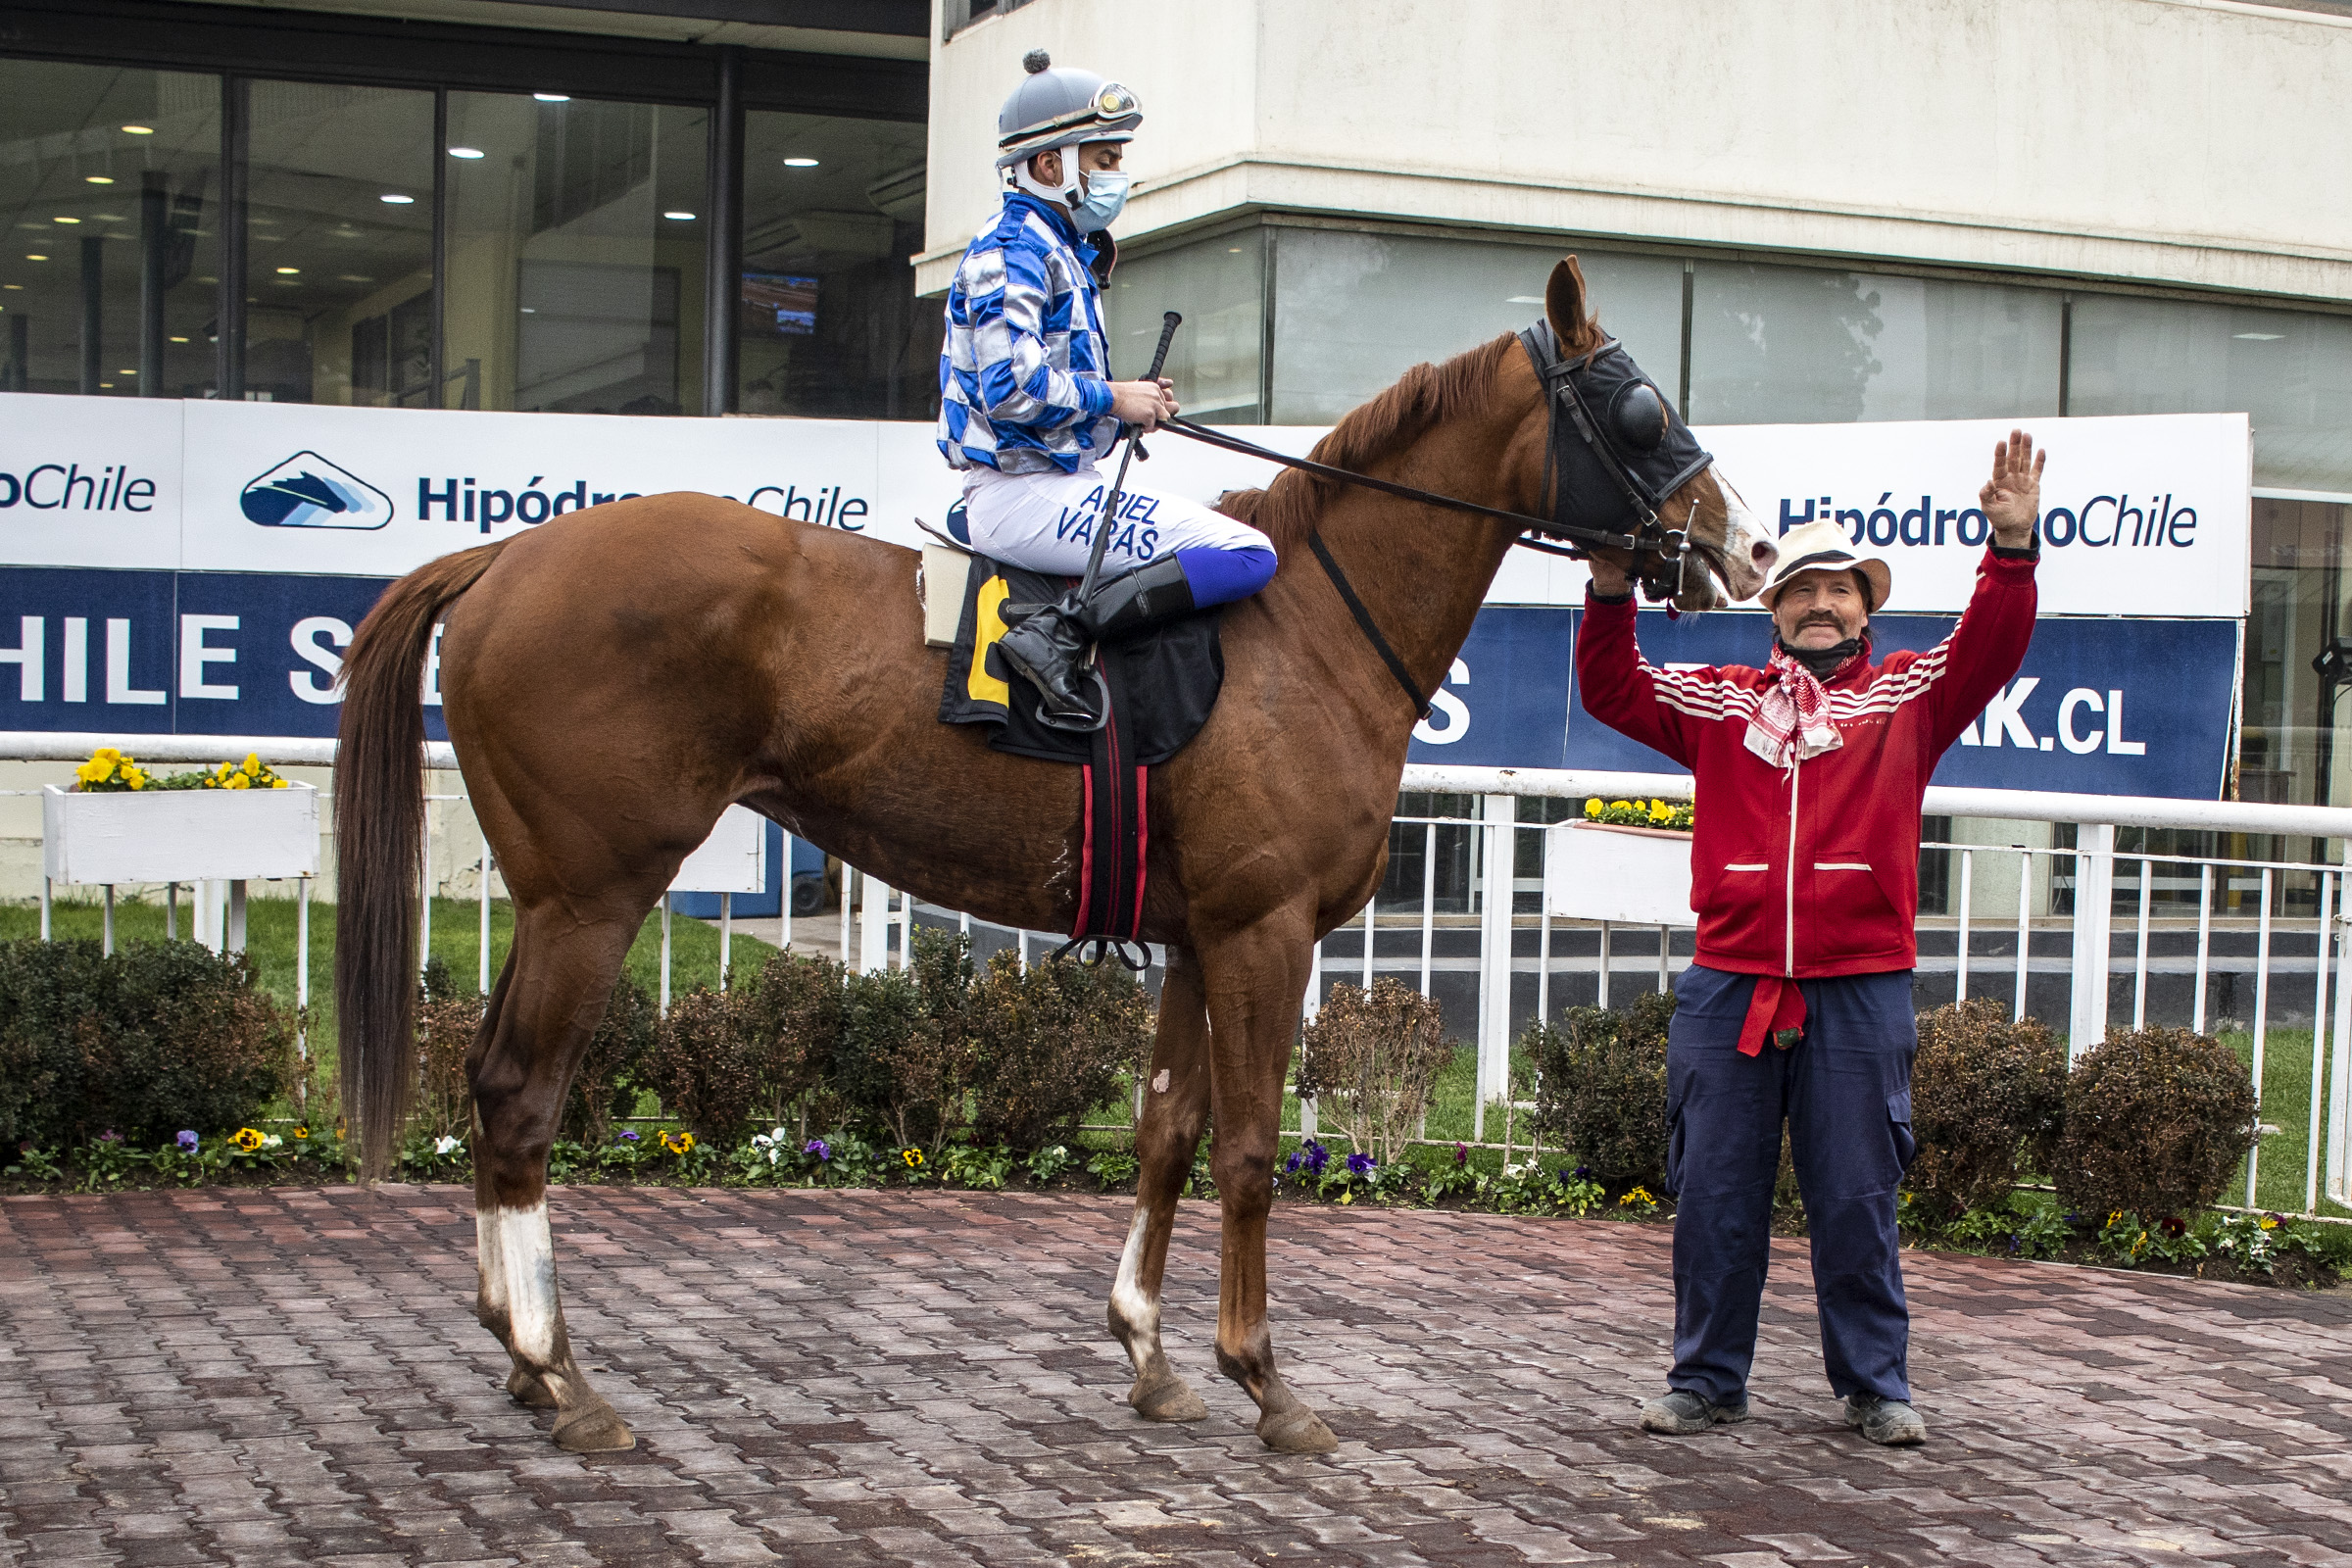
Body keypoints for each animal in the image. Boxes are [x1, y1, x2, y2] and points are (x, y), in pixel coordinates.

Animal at [334, 257, 1776, 1455]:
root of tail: (504, 553)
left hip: (551, 896)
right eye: (1638, 409)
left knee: (491, 1083)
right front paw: (1268, 1382)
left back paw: (525, 1359)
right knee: (521, 1092)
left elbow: (1167, 1131)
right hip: (596, 892)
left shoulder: (1200, 934)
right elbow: (1250, 1149)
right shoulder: (1265, 929)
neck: (1309, 630)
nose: (1751, 545)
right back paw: (561, 1375)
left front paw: (1150, 1354)